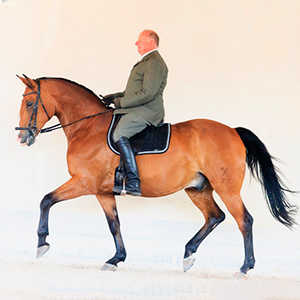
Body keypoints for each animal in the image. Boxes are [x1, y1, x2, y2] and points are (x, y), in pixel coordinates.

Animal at [15, 74, 296, 278]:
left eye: (29, 103)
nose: (21, 137)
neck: (88, 127)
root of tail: (233, 131)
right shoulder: (102, 191)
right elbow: (114, 224)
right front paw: (116, 259)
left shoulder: (84, 183)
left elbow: (46, 199)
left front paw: (42, 244)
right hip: (197, 189)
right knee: (215, 216)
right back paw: (188, 255)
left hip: (227, 189)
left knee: (244, 221)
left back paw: (244, 268)